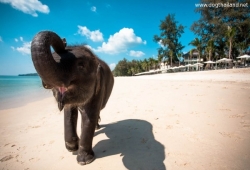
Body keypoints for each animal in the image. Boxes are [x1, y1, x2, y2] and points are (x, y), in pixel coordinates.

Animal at [30, 30, 114, 165]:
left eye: (81, 65)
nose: (64, 41)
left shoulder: (99, 87)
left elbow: (89, 114)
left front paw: (84, 161)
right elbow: (69, 111)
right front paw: (72, 147)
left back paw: (97, 127)